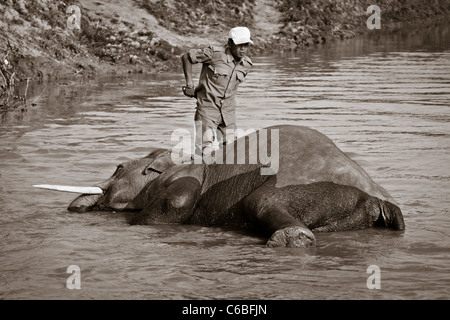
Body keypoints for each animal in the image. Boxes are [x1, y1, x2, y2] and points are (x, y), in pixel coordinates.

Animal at [67, 125, 404, 248]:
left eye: (118, 168)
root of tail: (380, 197)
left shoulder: (185, 175)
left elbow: (179, 200)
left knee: (261, 204)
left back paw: (290, 240)